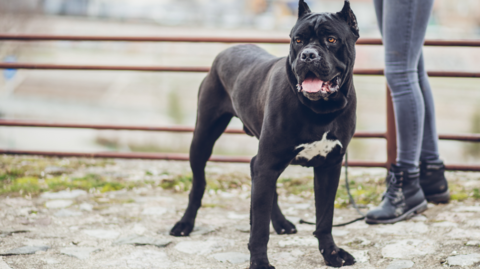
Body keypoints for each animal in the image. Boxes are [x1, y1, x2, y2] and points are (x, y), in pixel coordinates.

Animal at [171, 1, 358, 266]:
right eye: (298, 40)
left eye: (331, 39)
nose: (308, 55)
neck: (320, 110)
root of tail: (228, 49)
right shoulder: (268, 163)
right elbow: (259, 228)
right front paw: (259, 261)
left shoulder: (329, 166)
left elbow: (324, 217)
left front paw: (331, 253)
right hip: (203, 138)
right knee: (199, 184)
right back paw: (185, 224)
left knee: (259, 176)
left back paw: (280, 223)